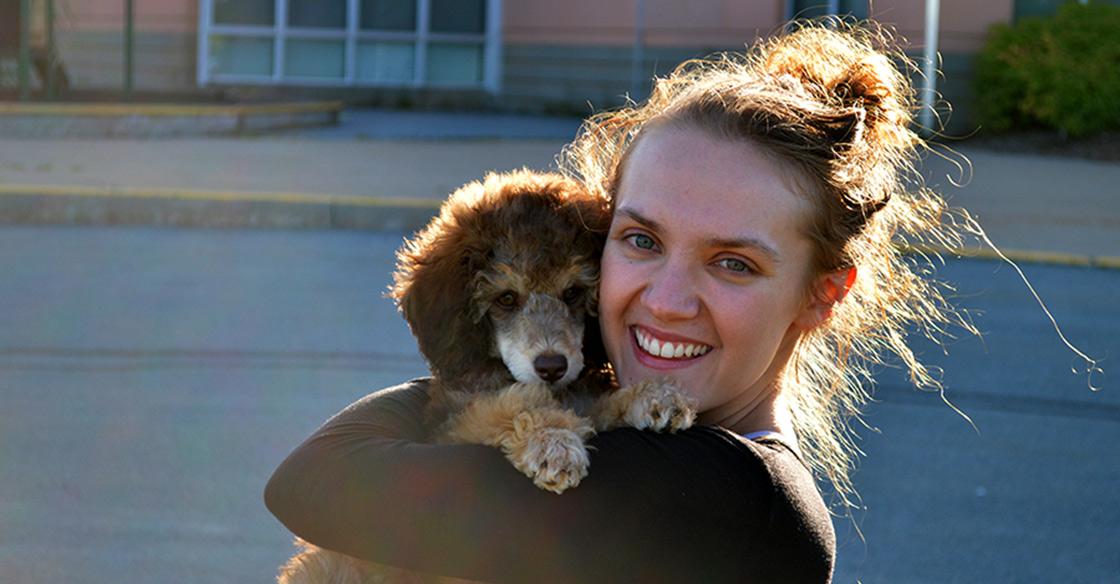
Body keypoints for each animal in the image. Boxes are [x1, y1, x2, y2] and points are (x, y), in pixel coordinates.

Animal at [276, 169, 694, 582]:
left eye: (573, 293)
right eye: (506, 298)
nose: (552, 366)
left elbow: (594, 406)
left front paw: (655, 396)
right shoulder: (456, 425)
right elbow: (511, 404)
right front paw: (553, 443)